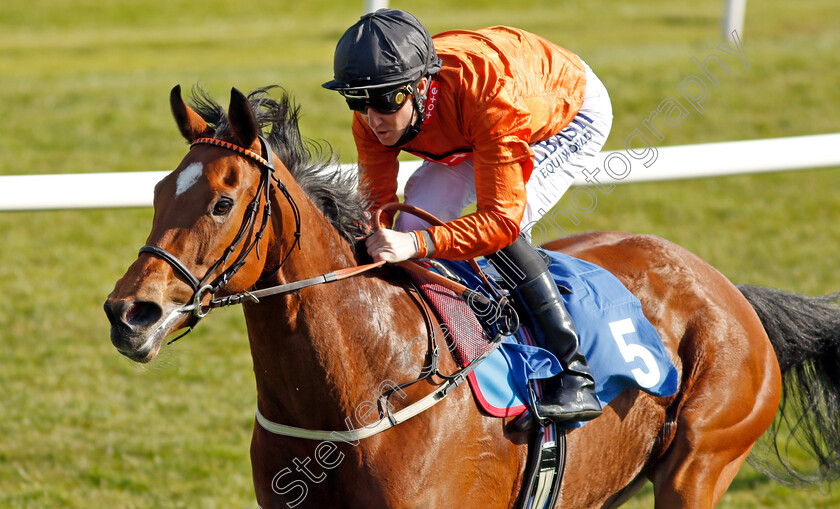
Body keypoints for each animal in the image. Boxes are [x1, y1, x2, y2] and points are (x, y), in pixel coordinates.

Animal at [105, 85, 840, 506]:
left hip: (700, 464)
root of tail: (728, 289)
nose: (128, 313)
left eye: (222, 202)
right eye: (157, 191)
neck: (361, 383)